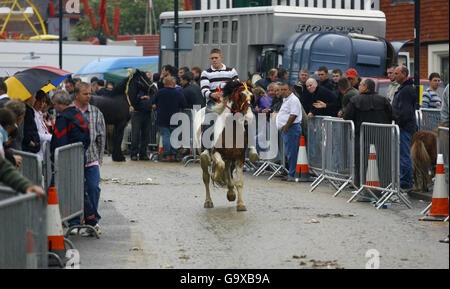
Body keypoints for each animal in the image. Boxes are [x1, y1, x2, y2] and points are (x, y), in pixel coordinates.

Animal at [192, 80, 258, 210]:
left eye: (252, 96)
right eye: (240, 95)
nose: (249, 117)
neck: (231, 130)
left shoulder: (240, 157)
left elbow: (239, 182)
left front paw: (240, 204)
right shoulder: (216, 152)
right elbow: (219, 167)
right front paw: (217, 178)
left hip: (229, 157)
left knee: (227, 170)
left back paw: (231, 192)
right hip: (203, 157)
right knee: (206, 177)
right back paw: (208, 201)